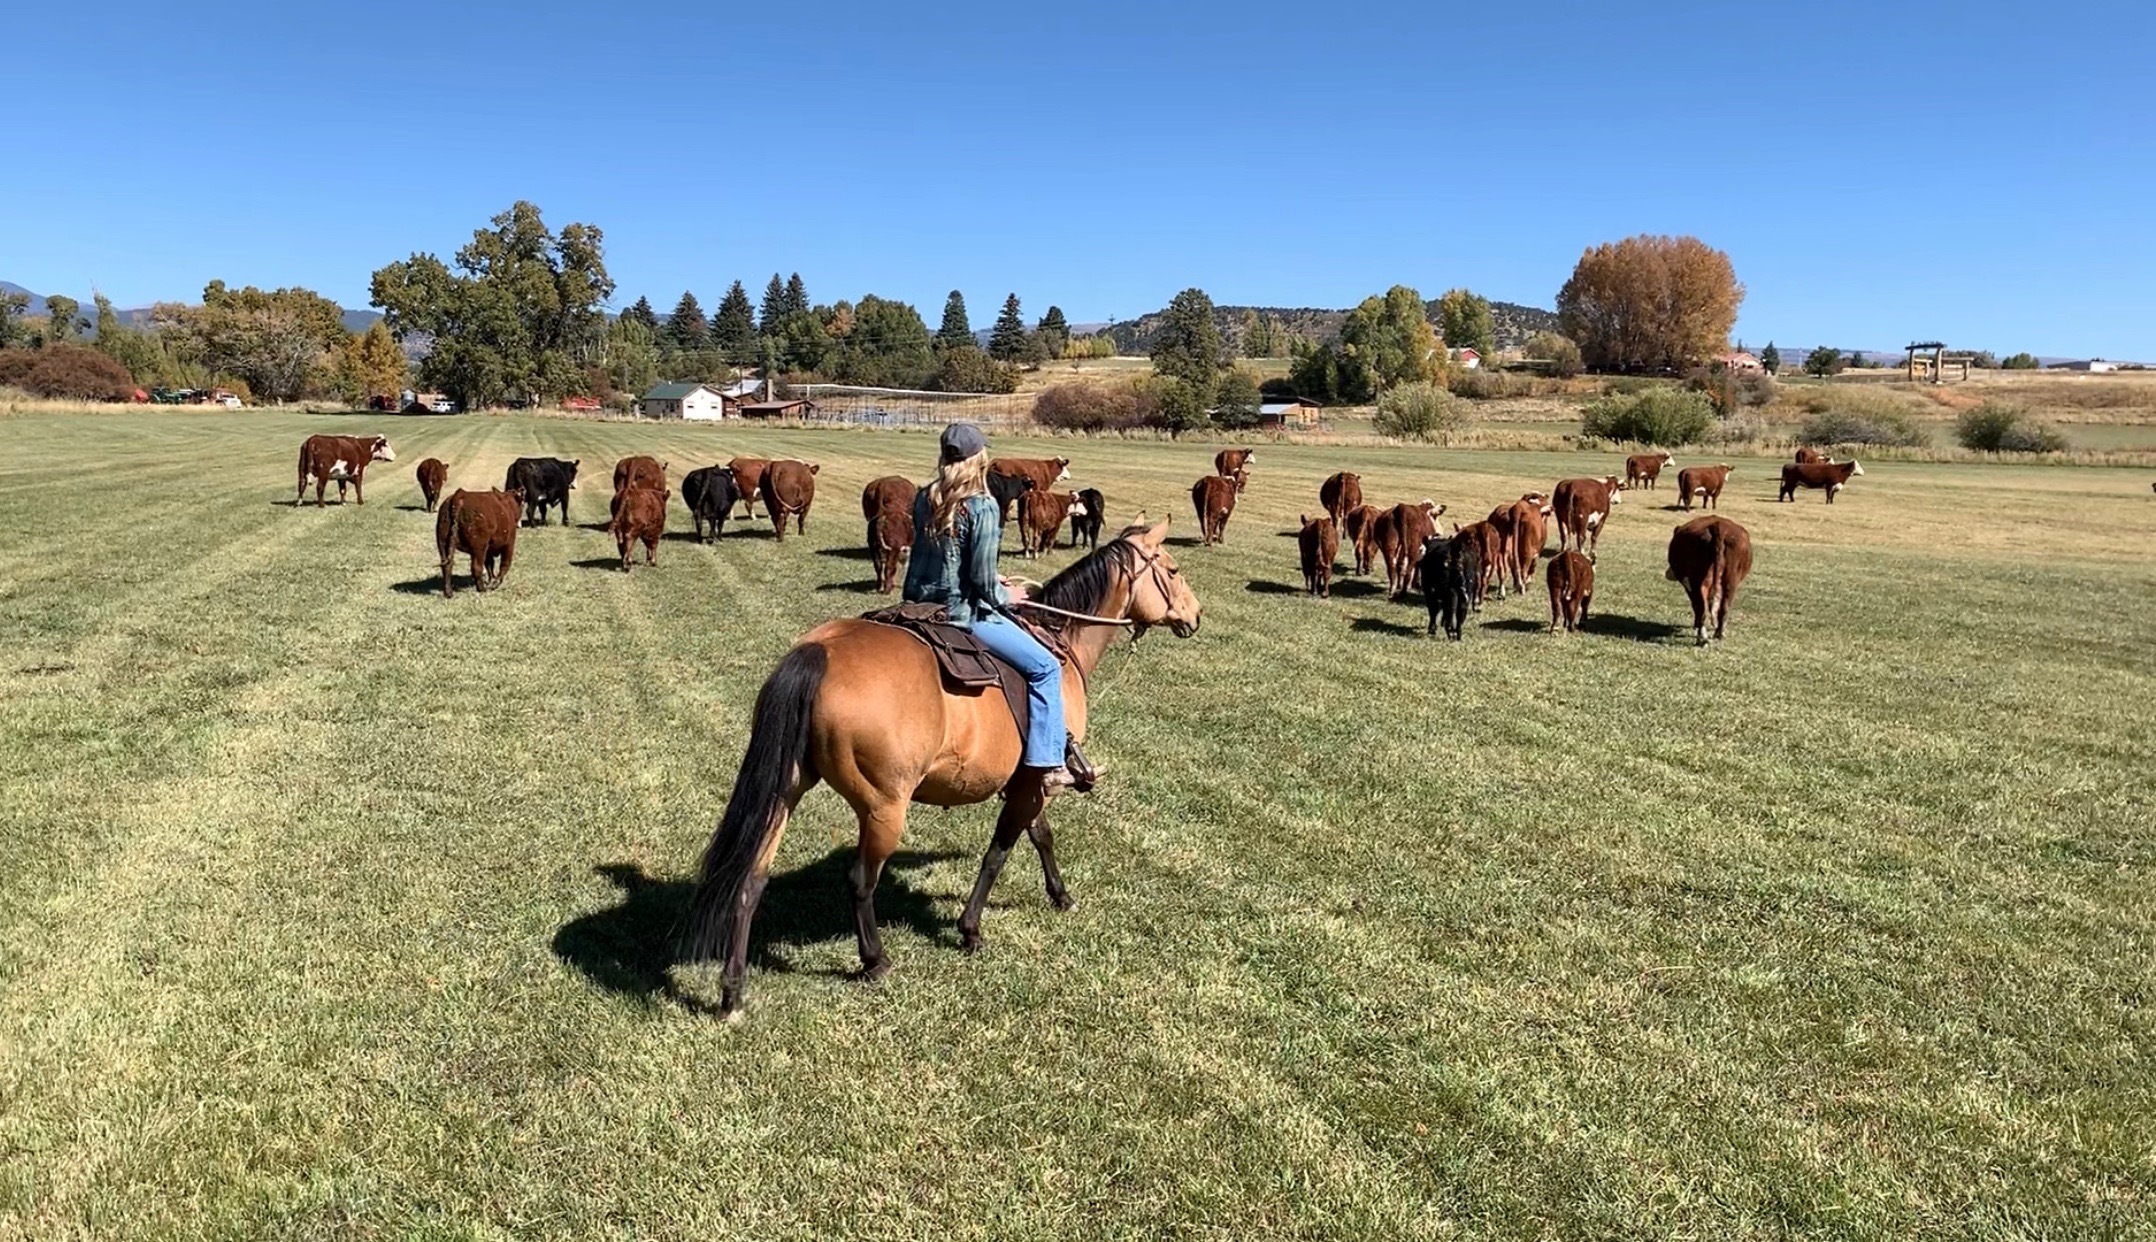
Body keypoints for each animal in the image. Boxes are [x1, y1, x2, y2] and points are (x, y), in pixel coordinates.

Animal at [1666, 515, 1752, 645]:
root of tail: (1719, 526)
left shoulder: (1688, 585)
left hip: (1699, 580)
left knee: (1702, 607)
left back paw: (1702, 637)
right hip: (1731, 580)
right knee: (1723, 606)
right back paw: (1718, 634)